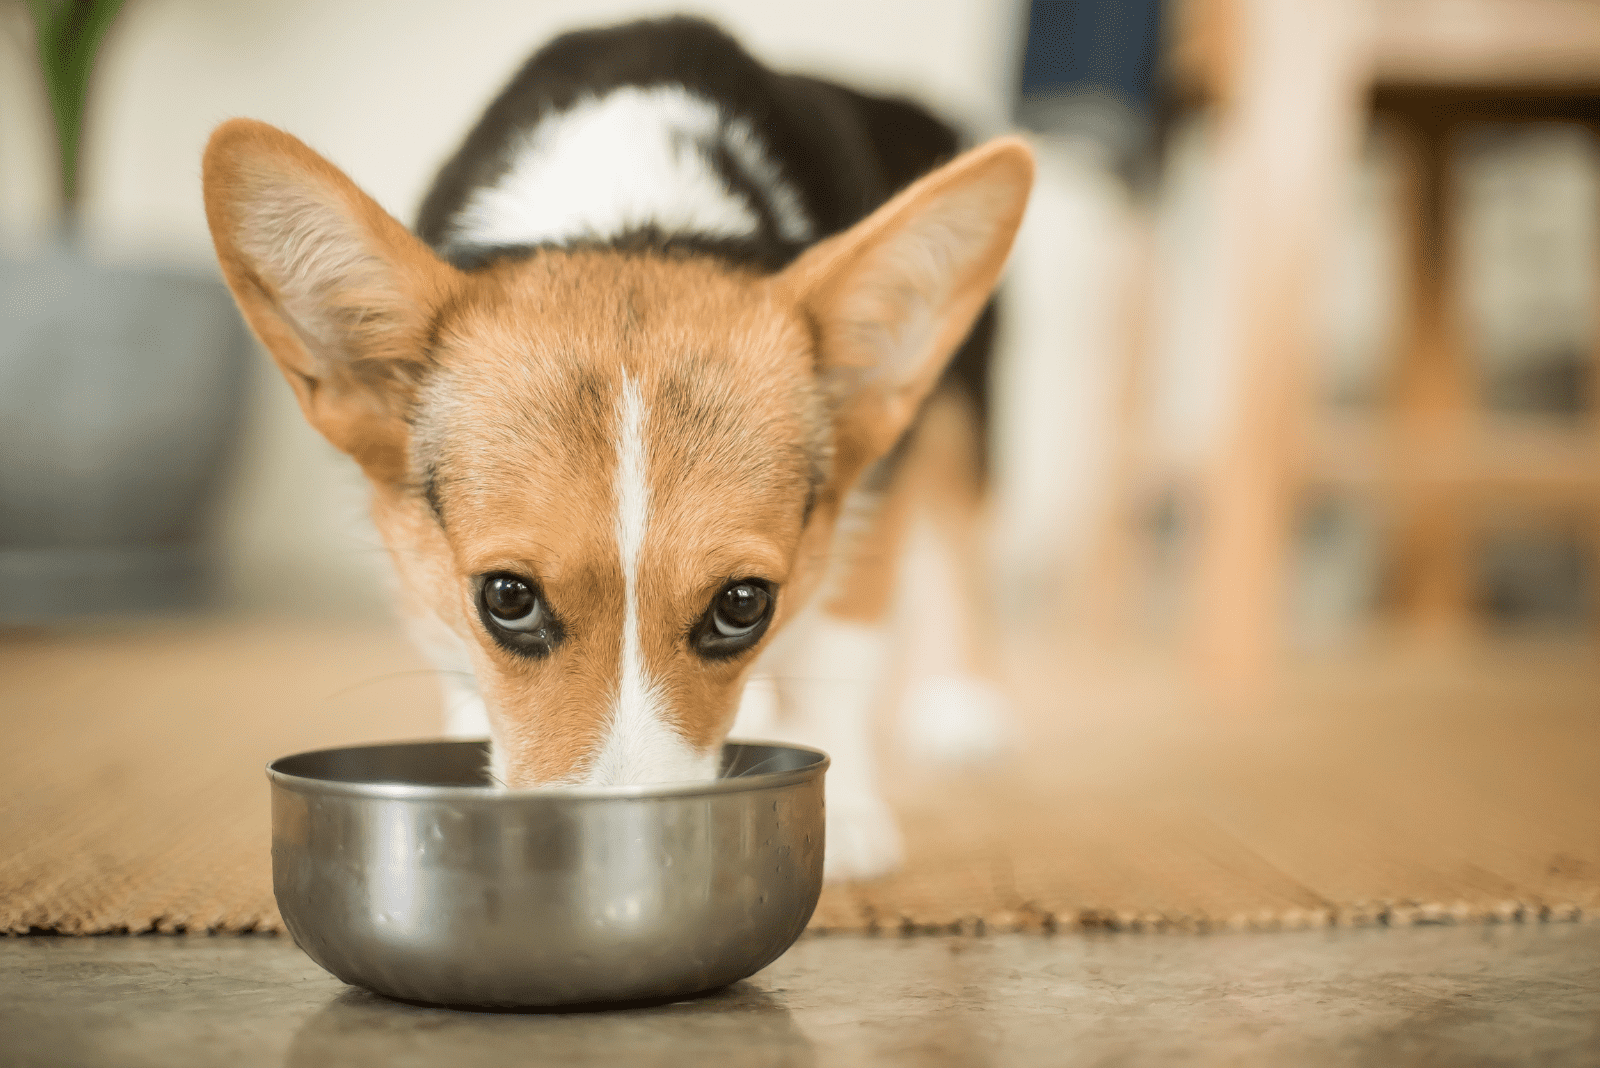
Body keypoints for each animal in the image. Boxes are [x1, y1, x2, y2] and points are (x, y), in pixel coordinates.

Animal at [203, 16, 1024, 882]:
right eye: (506, 598)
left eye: (743, 605)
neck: (628, 216)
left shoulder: (865, 503)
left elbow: (846, 651)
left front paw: (854, 816)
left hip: (959, 415)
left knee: (961, 545)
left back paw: (965, 705)